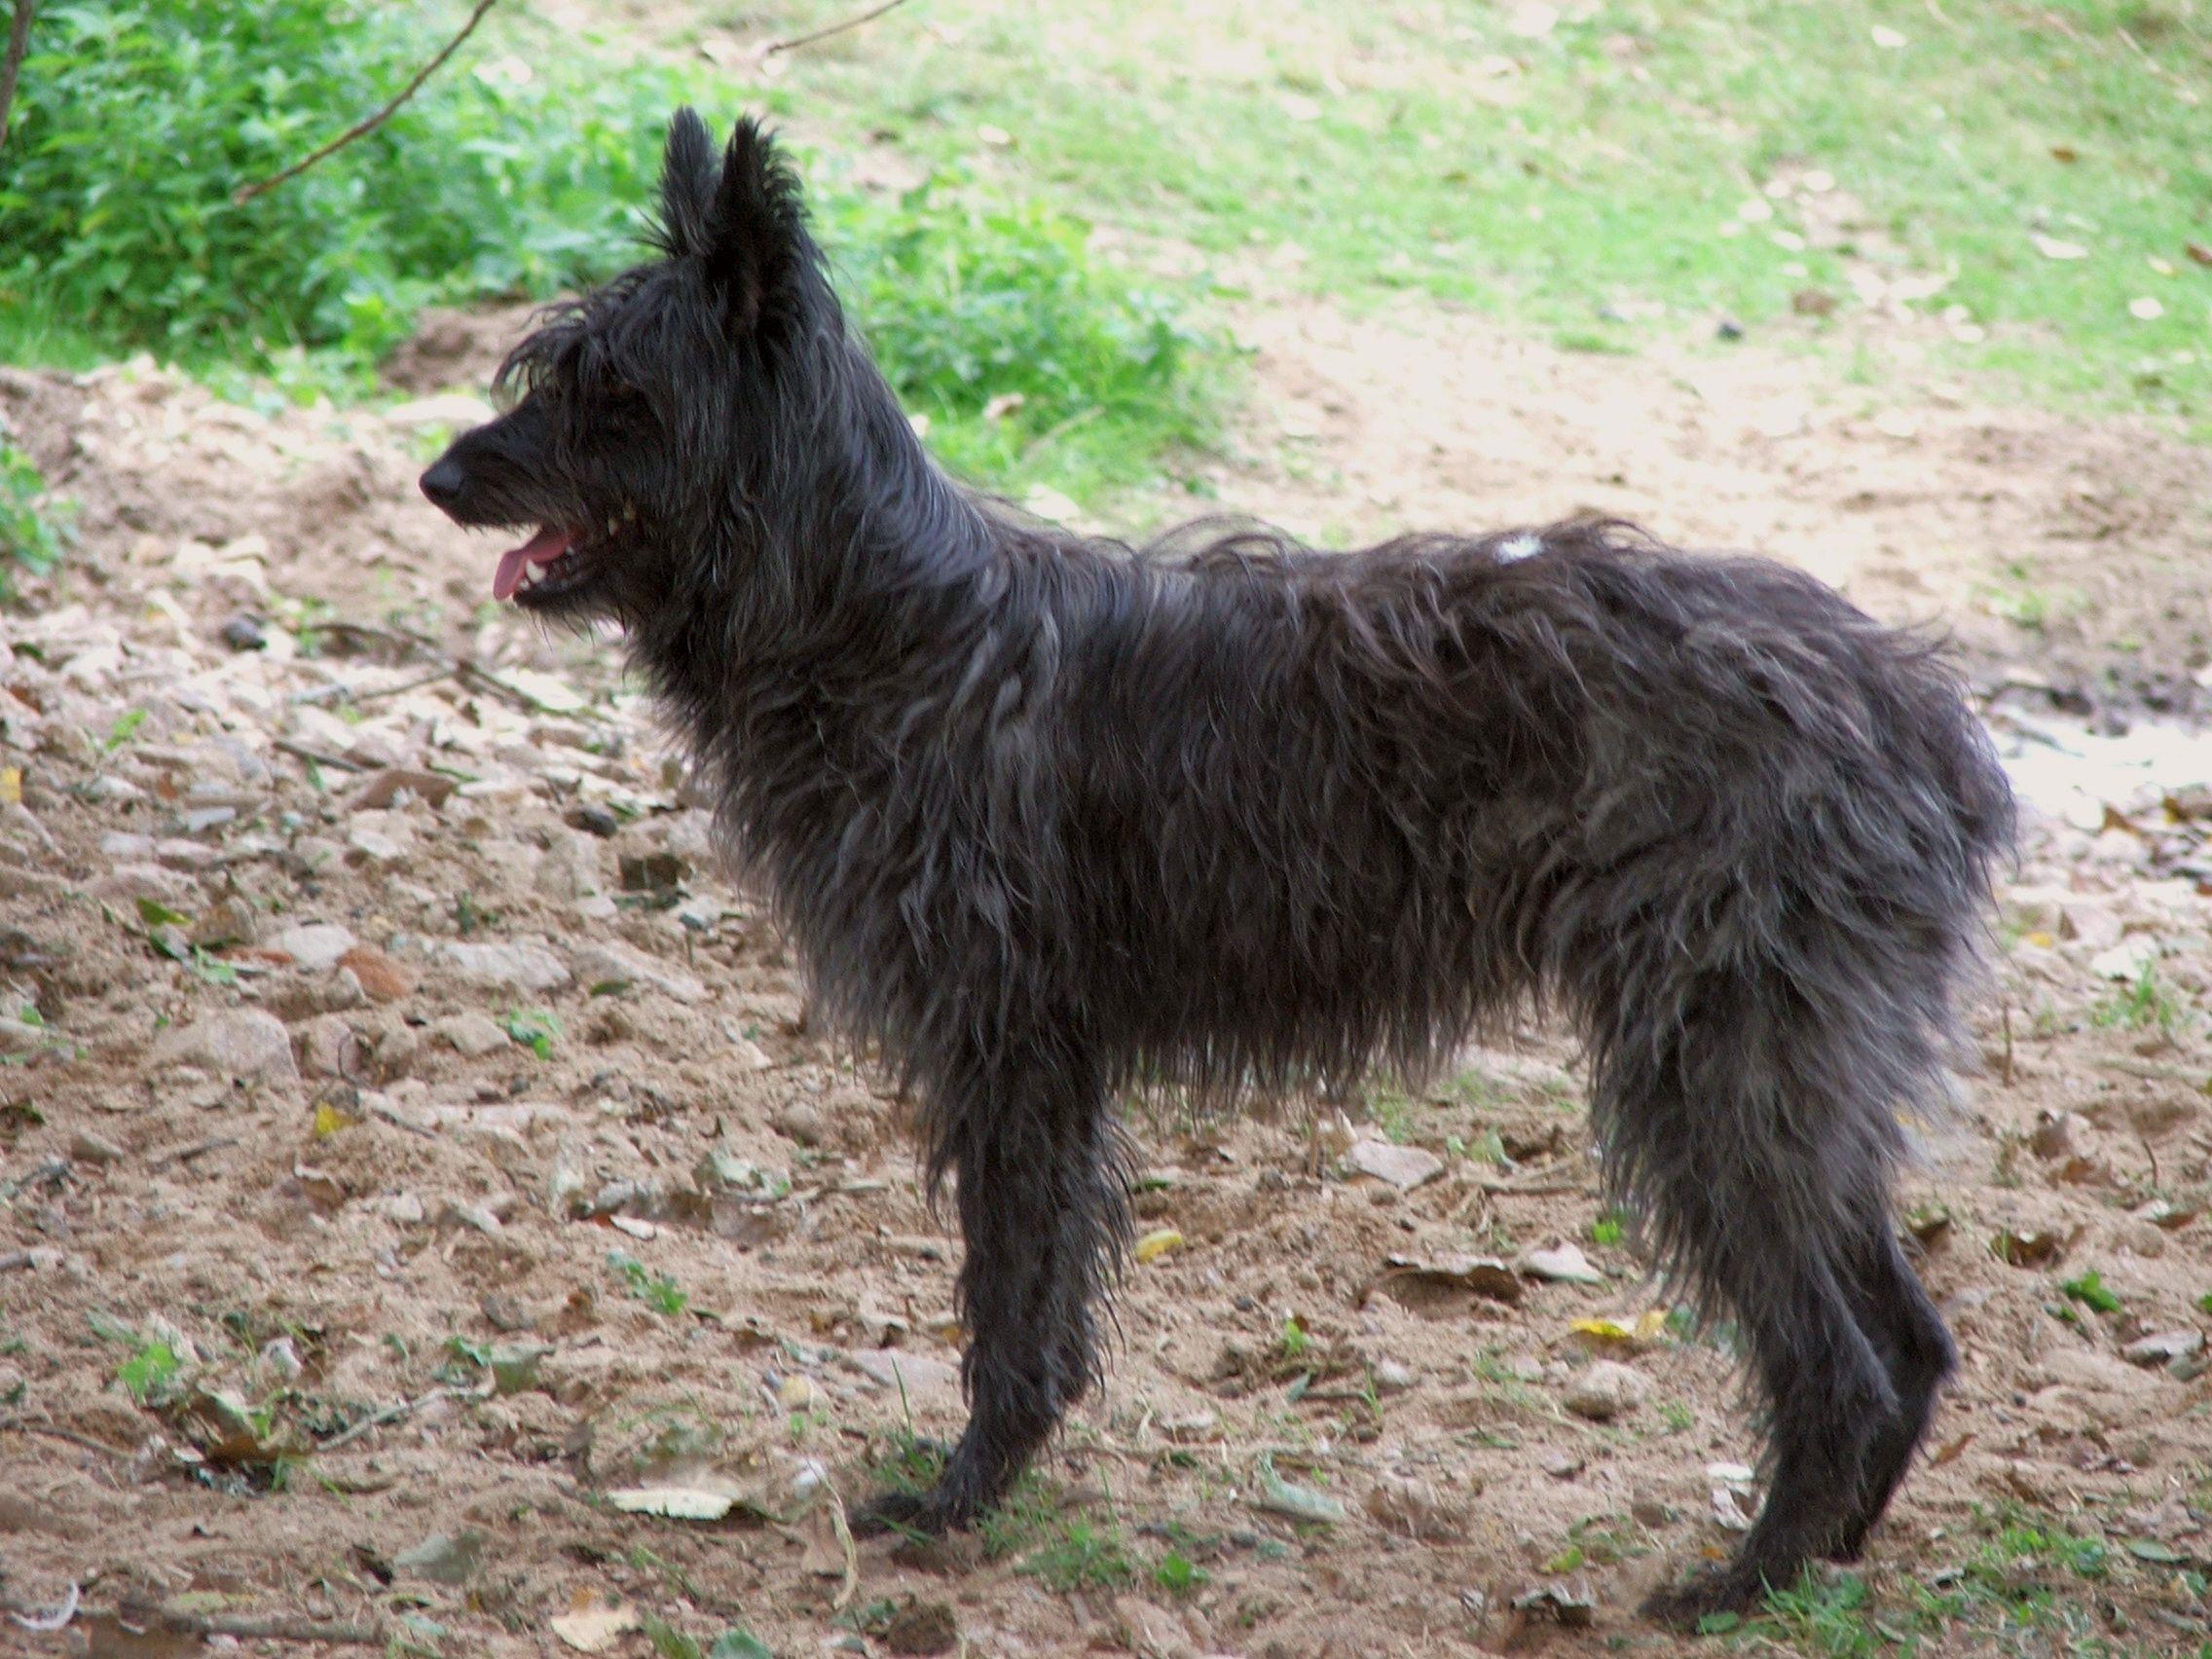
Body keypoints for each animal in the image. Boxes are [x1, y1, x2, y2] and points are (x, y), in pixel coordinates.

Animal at [422, 107, 2017, 1628]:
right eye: (548, 370)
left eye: (616, 395)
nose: (439, 477)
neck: (884, 628)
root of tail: (1919, 712)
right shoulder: (1041, 1063)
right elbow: (1041, 1291)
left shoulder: (1012, 1051)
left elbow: (1010, 1292)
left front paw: (962, 1496)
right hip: (1789, 1080)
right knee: (1912, 1338)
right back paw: (1825, 1563)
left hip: (1718, 1072)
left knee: (1842, 1360)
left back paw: (1748, 1582)